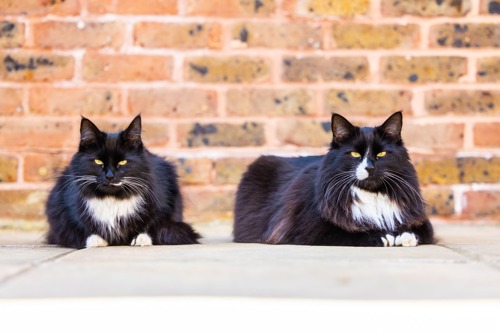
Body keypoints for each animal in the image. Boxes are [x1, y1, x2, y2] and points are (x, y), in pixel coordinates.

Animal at [46, 114, 200, 246]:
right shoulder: (63, 215)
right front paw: (96, 240)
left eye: (123, 162)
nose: (109, 176)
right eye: (98, 161)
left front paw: (141, 238)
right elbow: (74, 231)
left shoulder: (167, 208)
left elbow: (158, 226)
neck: (113, 199)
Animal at [234, 113, 434, 245]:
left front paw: (404, 236)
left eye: (382, 154)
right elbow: (350, 233)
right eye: (355, 154)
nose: (370, 168)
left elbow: (421, 231)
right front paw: (382, 236)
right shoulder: (308, 229)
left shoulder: (417, 220)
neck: (370, 194)